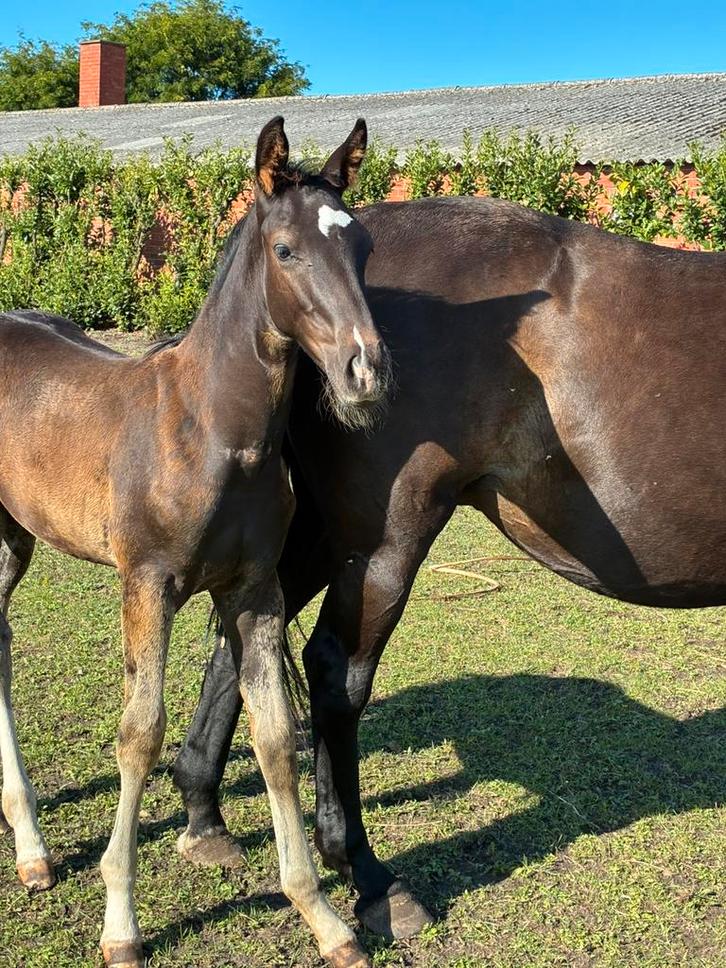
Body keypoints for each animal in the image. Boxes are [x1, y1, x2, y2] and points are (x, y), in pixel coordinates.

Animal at [0, 116, 391, 968]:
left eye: (364, 246)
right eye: (286, 249)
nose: (367, 371)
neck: (212, 429)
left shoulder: (254, 591)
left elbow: (274, 736)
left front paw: (324, 917)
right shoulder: (146, 585)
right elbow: (138, 735)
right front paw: (120, 925)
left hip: (15, 539)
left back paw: (32, 849)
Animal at [171, 194, 726, 941]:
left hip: (323, 536)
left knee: (249, 633)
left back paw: (204, 812)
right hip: (381, 544)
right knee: (334, 673)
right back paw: (368, 876)